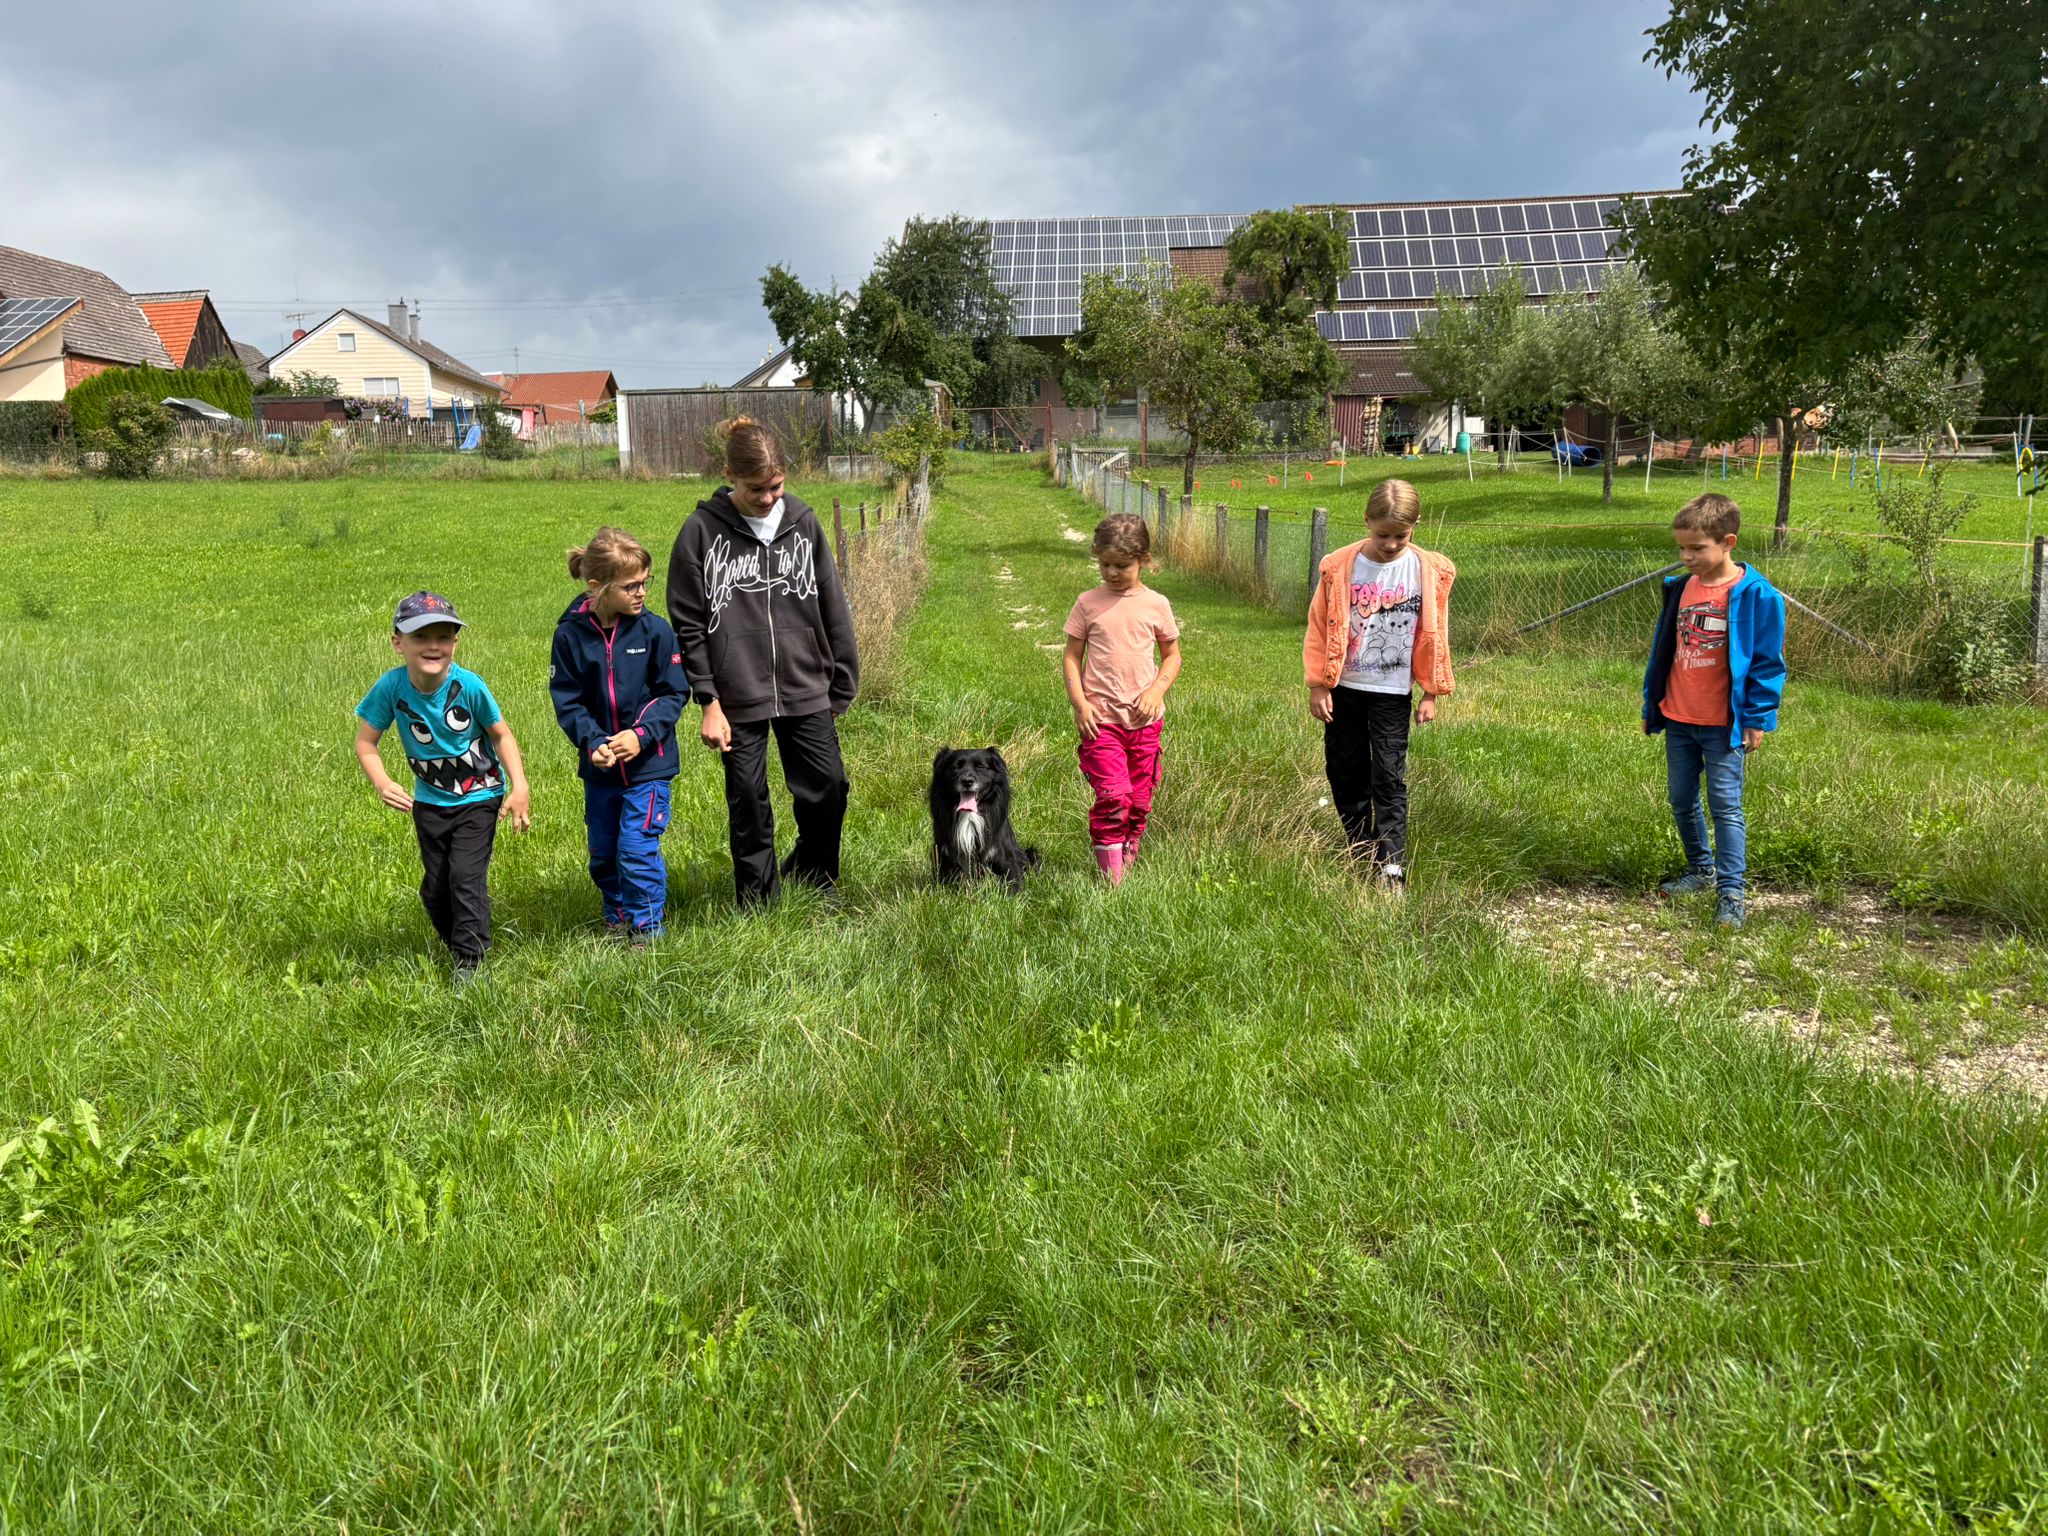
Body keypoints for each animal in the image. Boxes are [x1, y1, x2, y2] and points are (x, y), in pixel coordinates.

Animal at [929, 747, 1040, 889]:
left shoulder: (1006, 858)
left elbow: (1013, 883)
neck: (970, 816)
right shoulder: (944, 857)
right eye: (956, 766)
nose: (967, 781)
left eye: (981, 766)